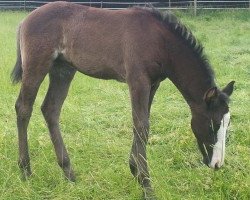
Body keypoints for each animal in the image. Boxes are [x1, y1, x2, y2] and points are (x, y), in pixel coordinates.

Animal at [11, 1, 234, 200]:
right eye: (213, 124)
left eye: (227, 124)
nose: (217, 164)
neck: (160, 41)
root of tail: (25, 20)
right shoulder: (138, 81)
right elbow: (142, 124)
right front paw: (146, 185)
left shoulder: (153, 84)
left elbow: (142, 124)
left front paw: (135, 171)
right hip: (37, 65)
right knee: (24, 108)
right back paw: (26, 171)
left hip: (63, 70)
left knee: (51, 109)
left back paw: (68, 172)